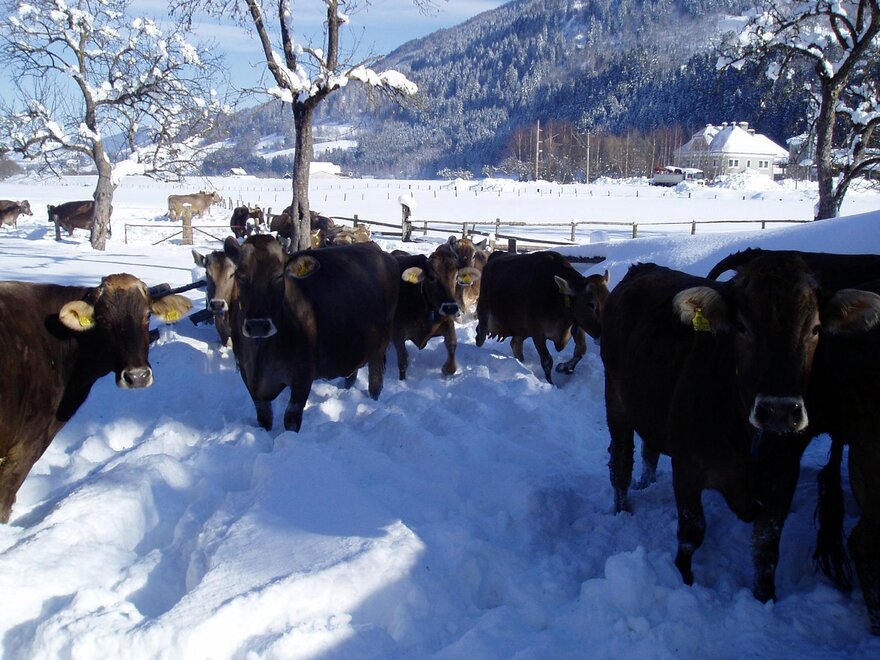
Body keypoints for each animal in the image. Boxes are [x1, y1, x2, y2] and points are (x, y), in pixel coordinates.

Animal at [224, 236, 399, 432]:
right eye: (240, 275)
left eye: (278, 276)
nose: (257, 325)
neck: (261, 352)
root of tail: (379, 251)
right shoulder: (247, 376)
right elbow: (264, 418)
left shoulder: (303, 374)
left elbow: (291, 418)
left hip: (380, 345)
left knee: (375, 380)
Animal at [391, 248, 481, 379]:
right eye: (431, 277)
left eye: (456, 277)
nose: (450, 308)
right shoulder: (397, 332)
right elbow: (403, 360)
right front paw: (402, 381)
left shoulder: (447, 320)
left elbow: (452, 345)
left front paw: (446, 369)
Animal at [475, 251, 609, 383]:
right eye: (591, 304)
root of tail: (496, 255)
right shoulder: (537, 331)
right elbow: (547, 361)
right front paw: (550, 383)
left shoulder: (577, 323)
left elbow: (581, 350)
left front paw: (564, 367)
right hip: (484, 313)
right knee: (480, 338)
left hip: (521, 329)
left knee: (515, 344)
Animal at [601, 256, 880, 606]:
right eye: (743, 326)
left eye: (815, 328)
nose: (778, 411)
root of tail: (643, 267)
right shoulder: (688, 466)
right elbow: (692, 532)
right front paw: (683, 579)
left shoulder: (784, 475)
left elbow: (766, 546)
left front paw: (765, 598)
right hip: (617, 405)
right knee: (621, 464)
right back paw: (622, 509)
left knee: (649, 448)